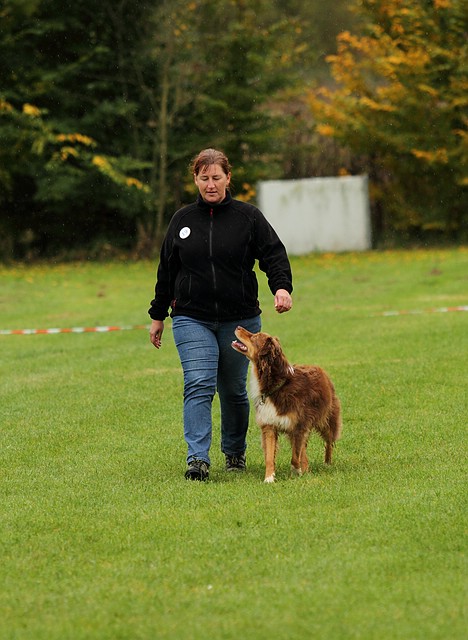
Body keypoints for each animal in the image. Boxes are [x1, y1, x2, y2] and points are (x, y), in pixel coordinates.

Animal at [232, 327, 342, 483]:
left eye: (254, 337)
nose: (238, 327)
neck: (276, 386)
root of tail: (321, 370)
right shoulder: (269, 425)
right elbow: (270, 457)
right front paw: (269, 478)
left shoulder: (299, 426)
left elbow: (295, 456)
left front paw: (296, 471)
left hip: (327, 419)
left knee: (329, 442)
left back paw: (326, 463)